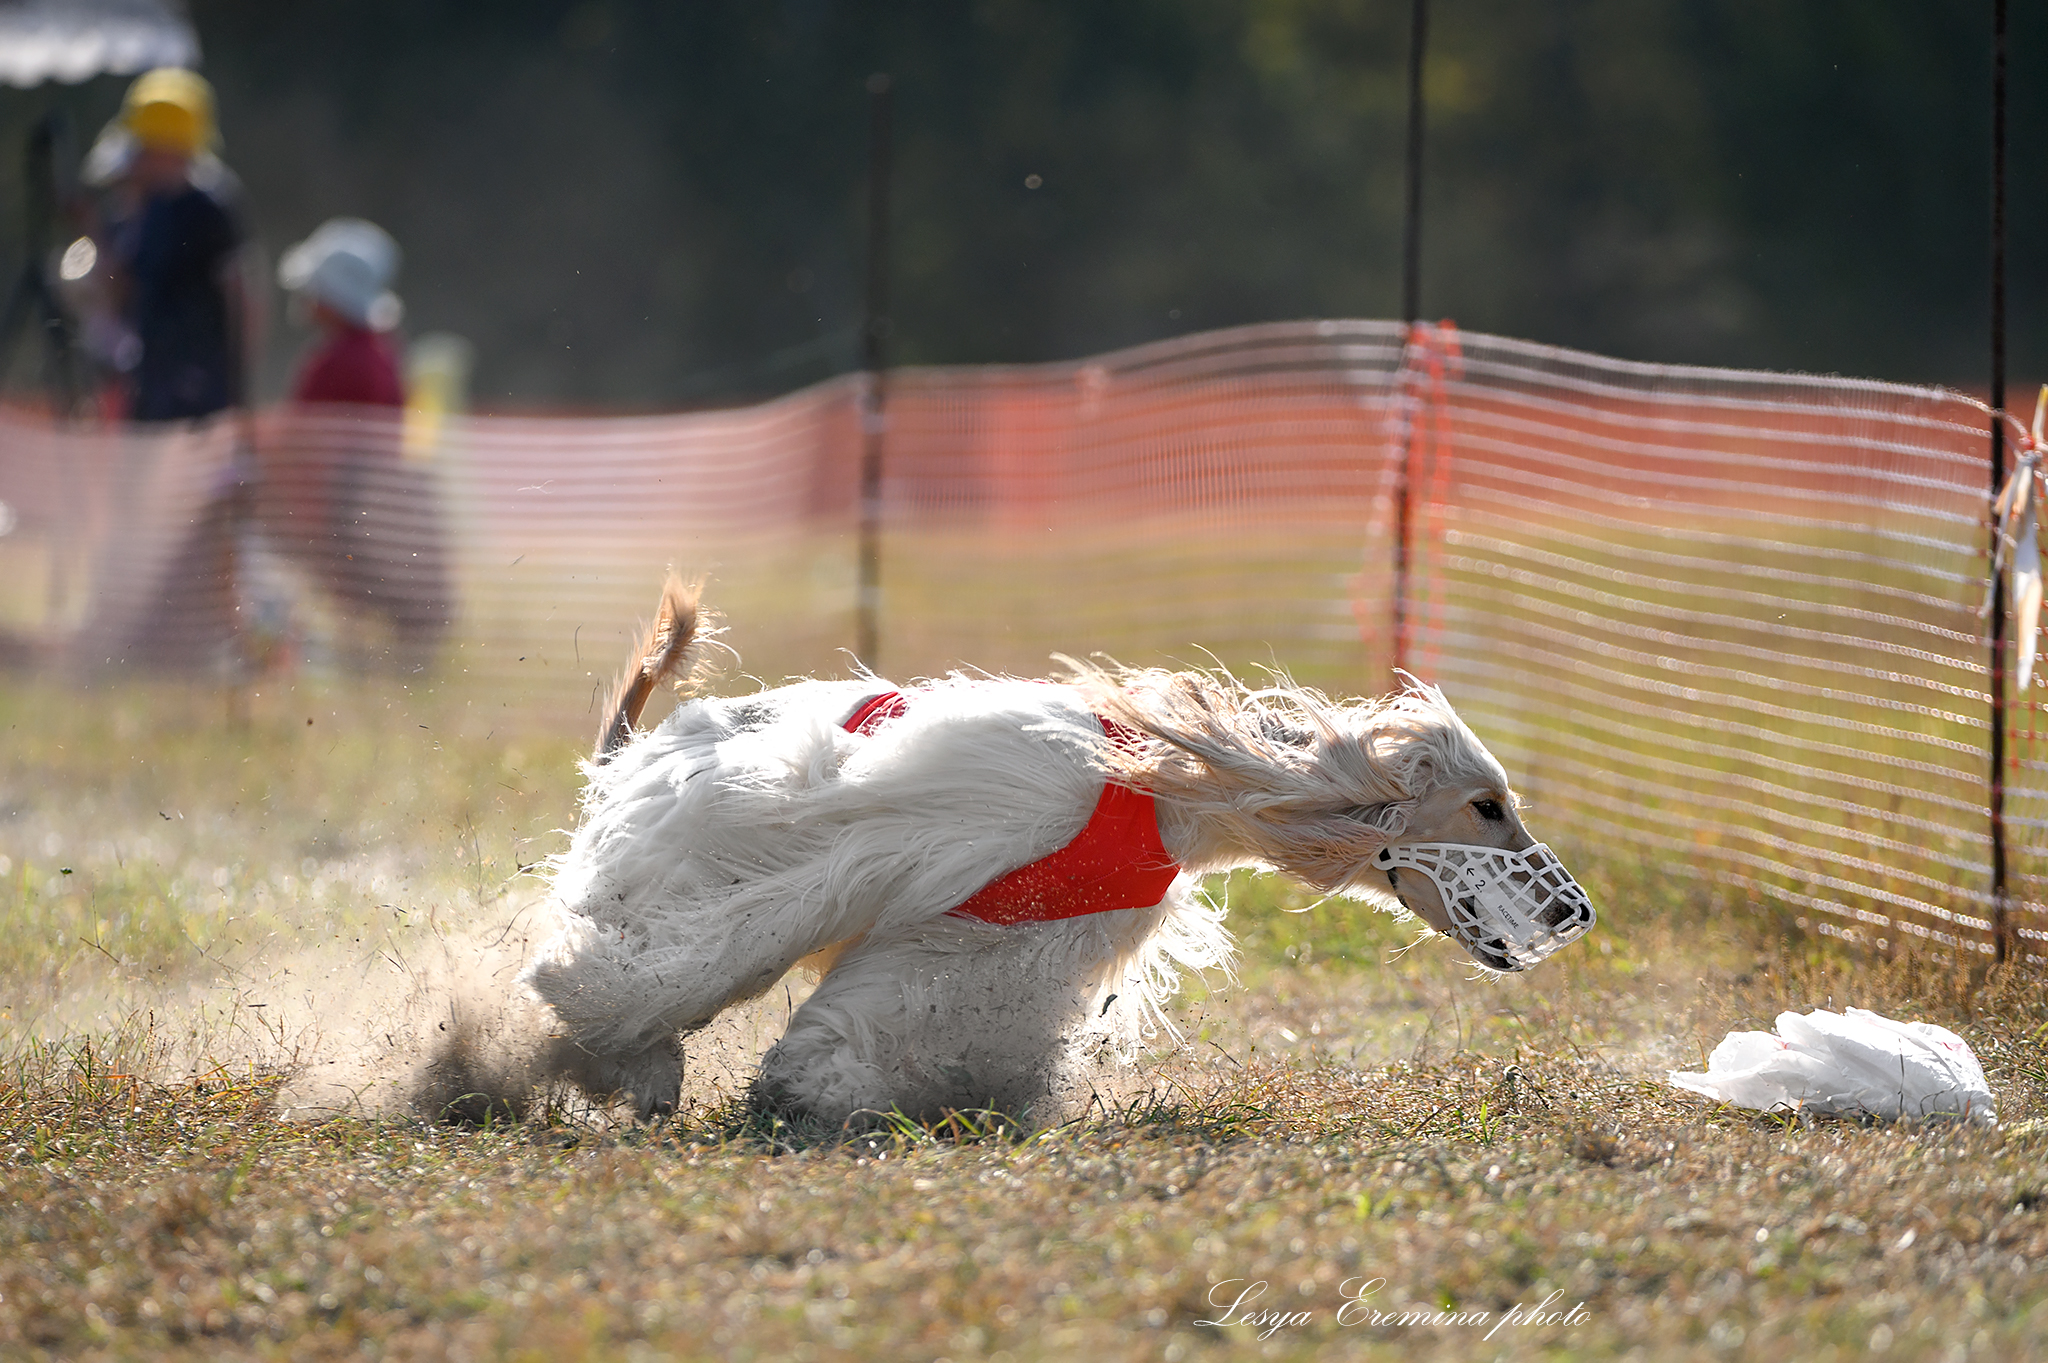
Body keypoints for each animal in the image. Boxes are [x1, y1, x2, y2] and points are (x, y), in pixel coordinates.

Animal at [516, 577, 1597, 1121]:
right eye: (1487, 806)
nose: (1572, 912)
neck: (1170, 797)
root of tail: (646, 740)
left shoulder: (1004, 936)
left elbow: (893, 1015)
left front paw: (820, 1088)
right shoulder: (916, 820)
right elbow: (709, 941)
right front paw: (603, 1019)